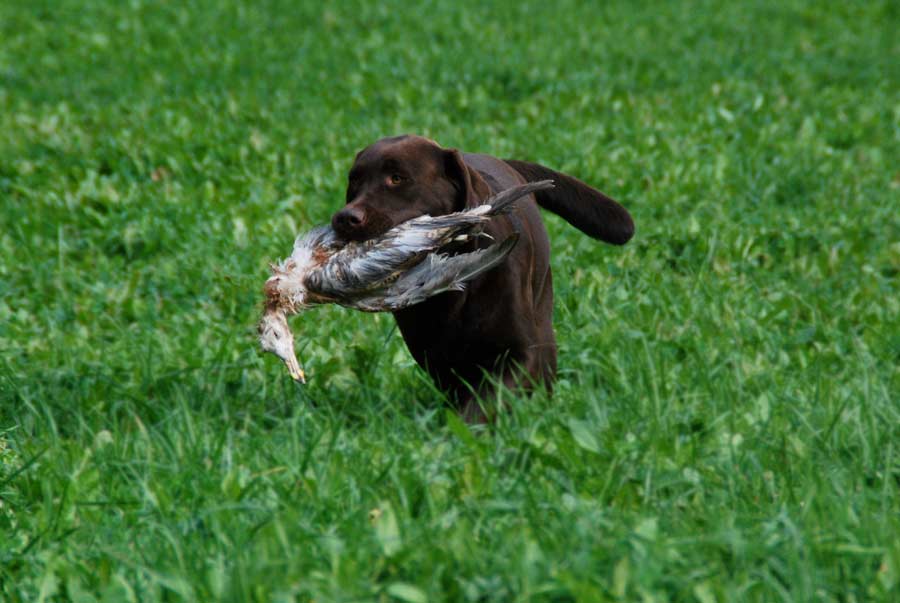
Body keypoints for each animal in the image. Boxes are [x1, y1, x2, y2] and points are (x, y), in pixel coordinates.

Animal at [330, 136, 632, 420]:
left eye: (397, 178)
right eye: (354, 180)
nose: (344, 218)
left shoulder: (521, 354)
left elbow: (486, 402)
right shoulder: (439, 360)